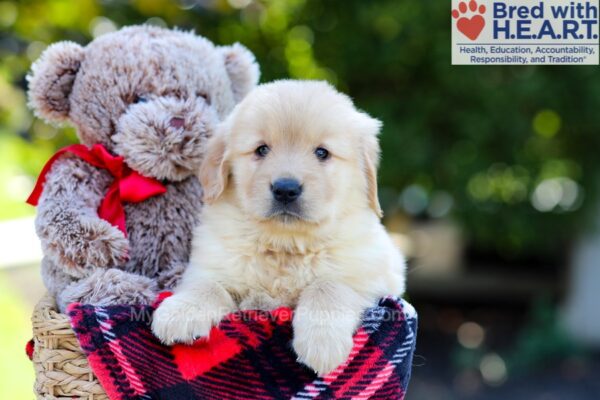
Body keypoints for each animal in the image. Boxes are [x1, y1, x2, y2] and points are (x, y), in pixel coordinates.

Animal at [152, 79, 408, 376]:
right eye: (261, 150)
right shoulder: (210, 264)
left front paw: (322, 342)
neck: (285, 245)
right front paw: (180, 312)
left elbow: (329, 285)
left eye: (322, 153)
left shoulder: (373, 273)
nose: (286, 189)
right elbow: (207, 285)